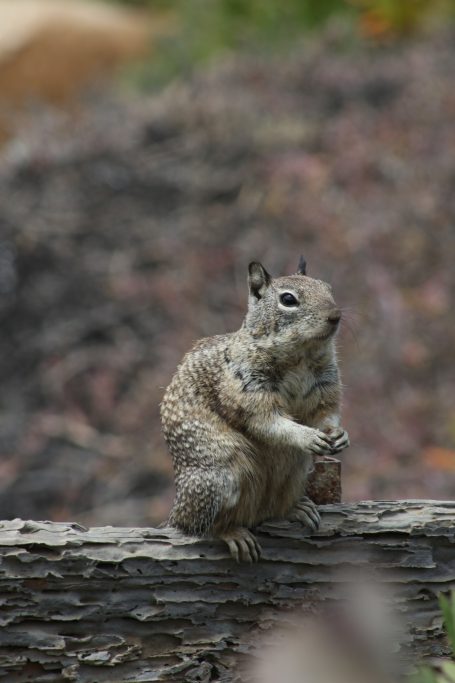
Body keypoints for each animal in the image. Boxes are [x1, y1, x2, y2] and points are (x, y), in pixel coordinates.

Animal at [160, 257, 349, 562]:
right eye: (288, 299)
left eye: (328, 288)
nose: (335, 316)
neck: (301, 356)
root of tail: (176, 515)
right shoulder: (248, 387)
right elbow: (268, 422)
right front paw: (308, 436)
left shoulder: (326, 386)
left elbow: (326, 413)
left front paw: (339, 434)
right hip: (222, 477)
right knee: (203, 526)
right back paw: (233, 533)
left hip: (295, 471)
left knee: (268, 512)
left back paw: (296, 509)